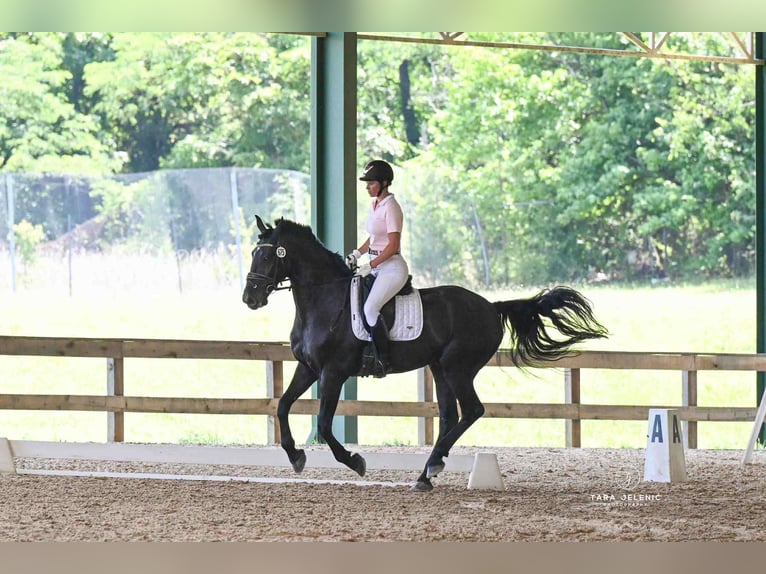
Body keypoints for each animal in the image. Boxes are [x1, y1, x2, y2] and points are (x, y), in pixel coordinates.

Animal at [242, 216, 607, 491]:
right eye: (254, 253)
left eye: (269, 255)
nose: (250, 298)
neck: (323, 300)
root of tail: (491, 307)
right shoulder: (308, 368)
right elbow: (283, 406)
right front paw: (295, 456)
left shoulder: (334, 372)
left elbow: (325, 423)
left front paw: (355, 461)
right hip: (439, 369)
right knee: (449, 418)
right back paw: (426, 473)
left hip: (457, 367)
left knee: (471, 410)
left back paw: (431, 467)